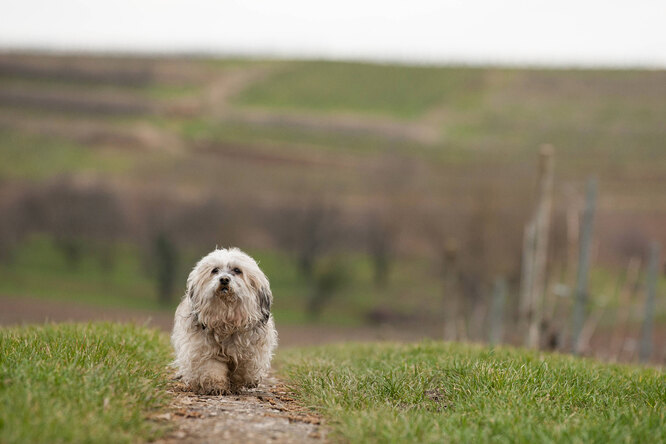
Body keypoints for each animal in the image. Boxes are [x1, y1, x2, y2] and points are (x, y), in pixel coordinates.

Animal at [172, 246, 276, 396]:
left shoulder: (250, 350)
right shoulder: (204, 349)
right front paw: (216, 386)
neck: (226, 318)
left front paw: (241, 382)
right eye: (215, 270)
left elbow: (244, 369)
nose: (224, 279)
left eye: (237, 270)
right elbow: (212, 368)